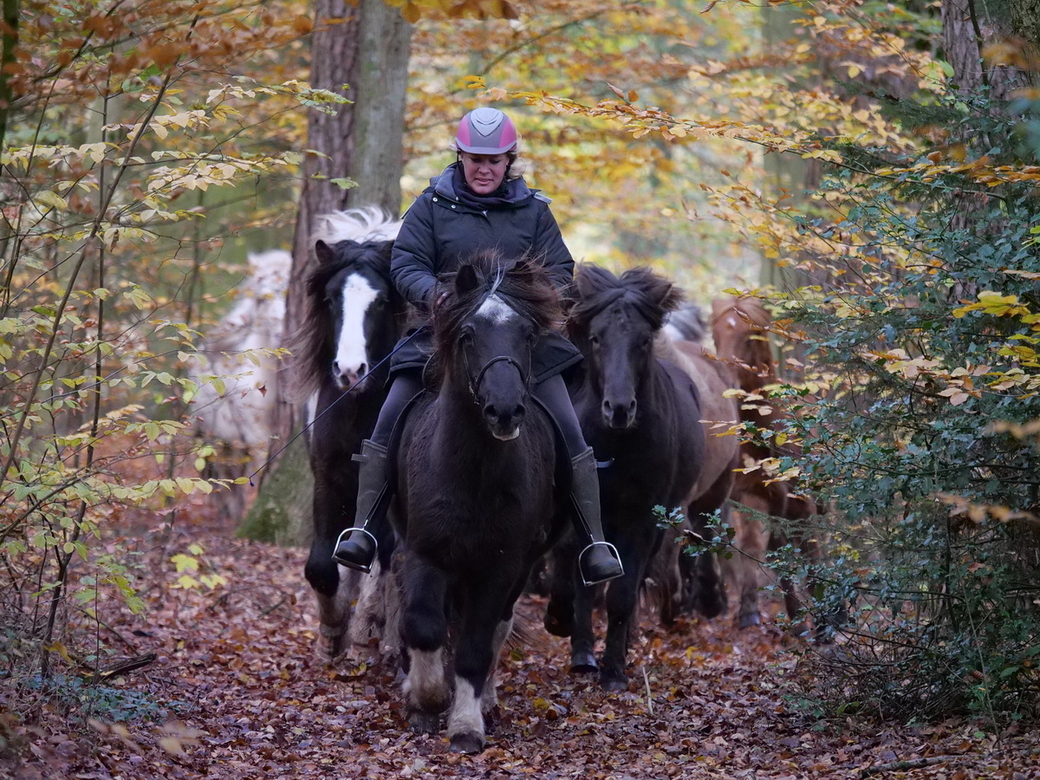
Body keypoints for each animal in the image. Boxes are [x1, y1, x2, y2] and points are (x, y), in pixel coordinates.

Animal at [291, 208, 411, 661]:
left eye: (381, 301)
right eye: (330, 300)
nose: (350, 371)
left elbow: (384, 555)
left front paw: (362, 631)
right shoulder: (328, 479)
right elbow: (321, 565)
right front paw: (331, 630)